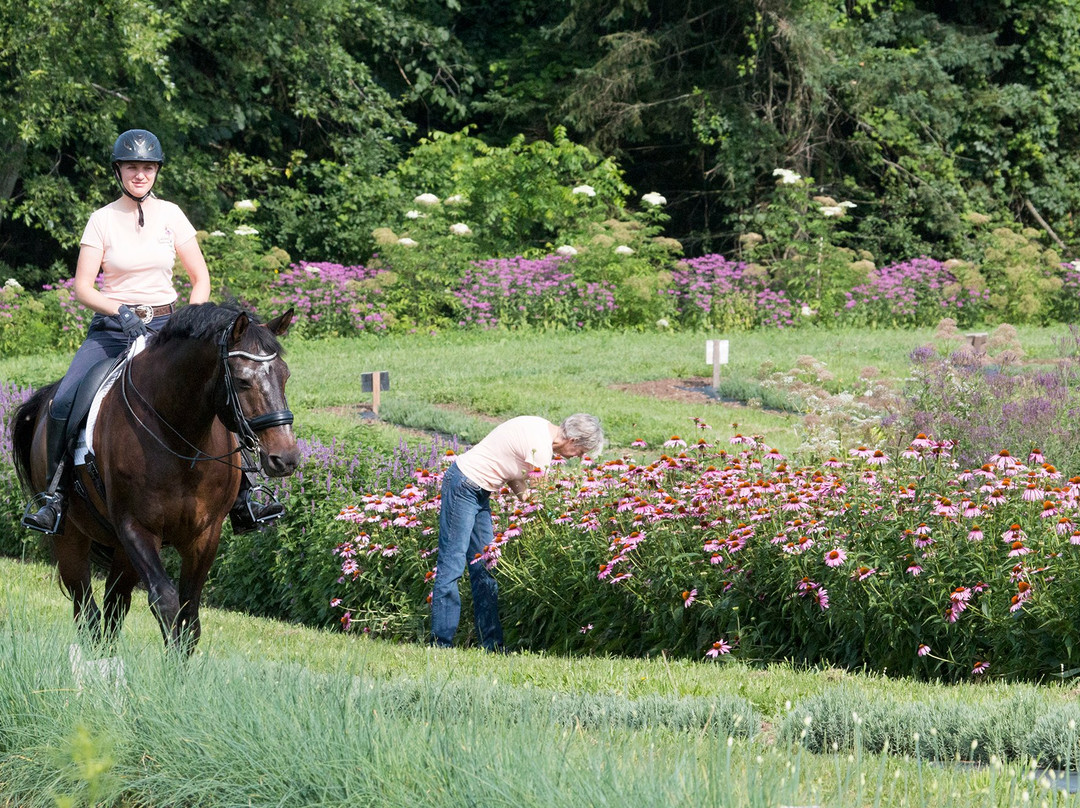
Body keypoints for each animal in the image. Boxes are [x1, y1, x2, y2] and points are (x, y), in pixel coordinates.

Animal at [12, 302, 300, 648]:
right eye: (242, 381)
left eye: (285, 375)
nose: (285, 458)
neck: (180, 438)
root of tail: (46, 399)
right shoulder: (136, 527)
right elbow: (166, 601)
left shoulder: (205, 533)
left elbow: (190, 615)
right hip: (71, 536)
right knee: (87, 609)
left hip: (122, 552)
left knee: (114, 605)